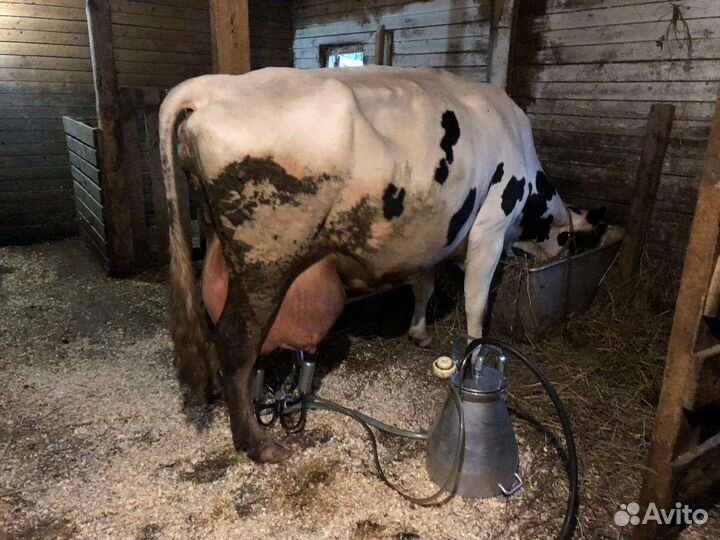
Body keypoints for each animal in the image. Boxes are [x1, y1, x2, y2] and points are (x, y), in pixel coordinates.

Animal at [159, 66, 606, 462]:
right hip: (265, 256)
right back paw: (258, 444)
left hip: (225, 244)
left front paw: (420, 333)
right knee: (235, 341)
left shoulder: (428, 240)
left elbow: (424, 286)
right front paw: (476, 355)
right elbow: (477, 305)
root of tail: (212, 87)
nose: (557, 255)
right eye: (568, 240)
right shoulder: (489, 228)